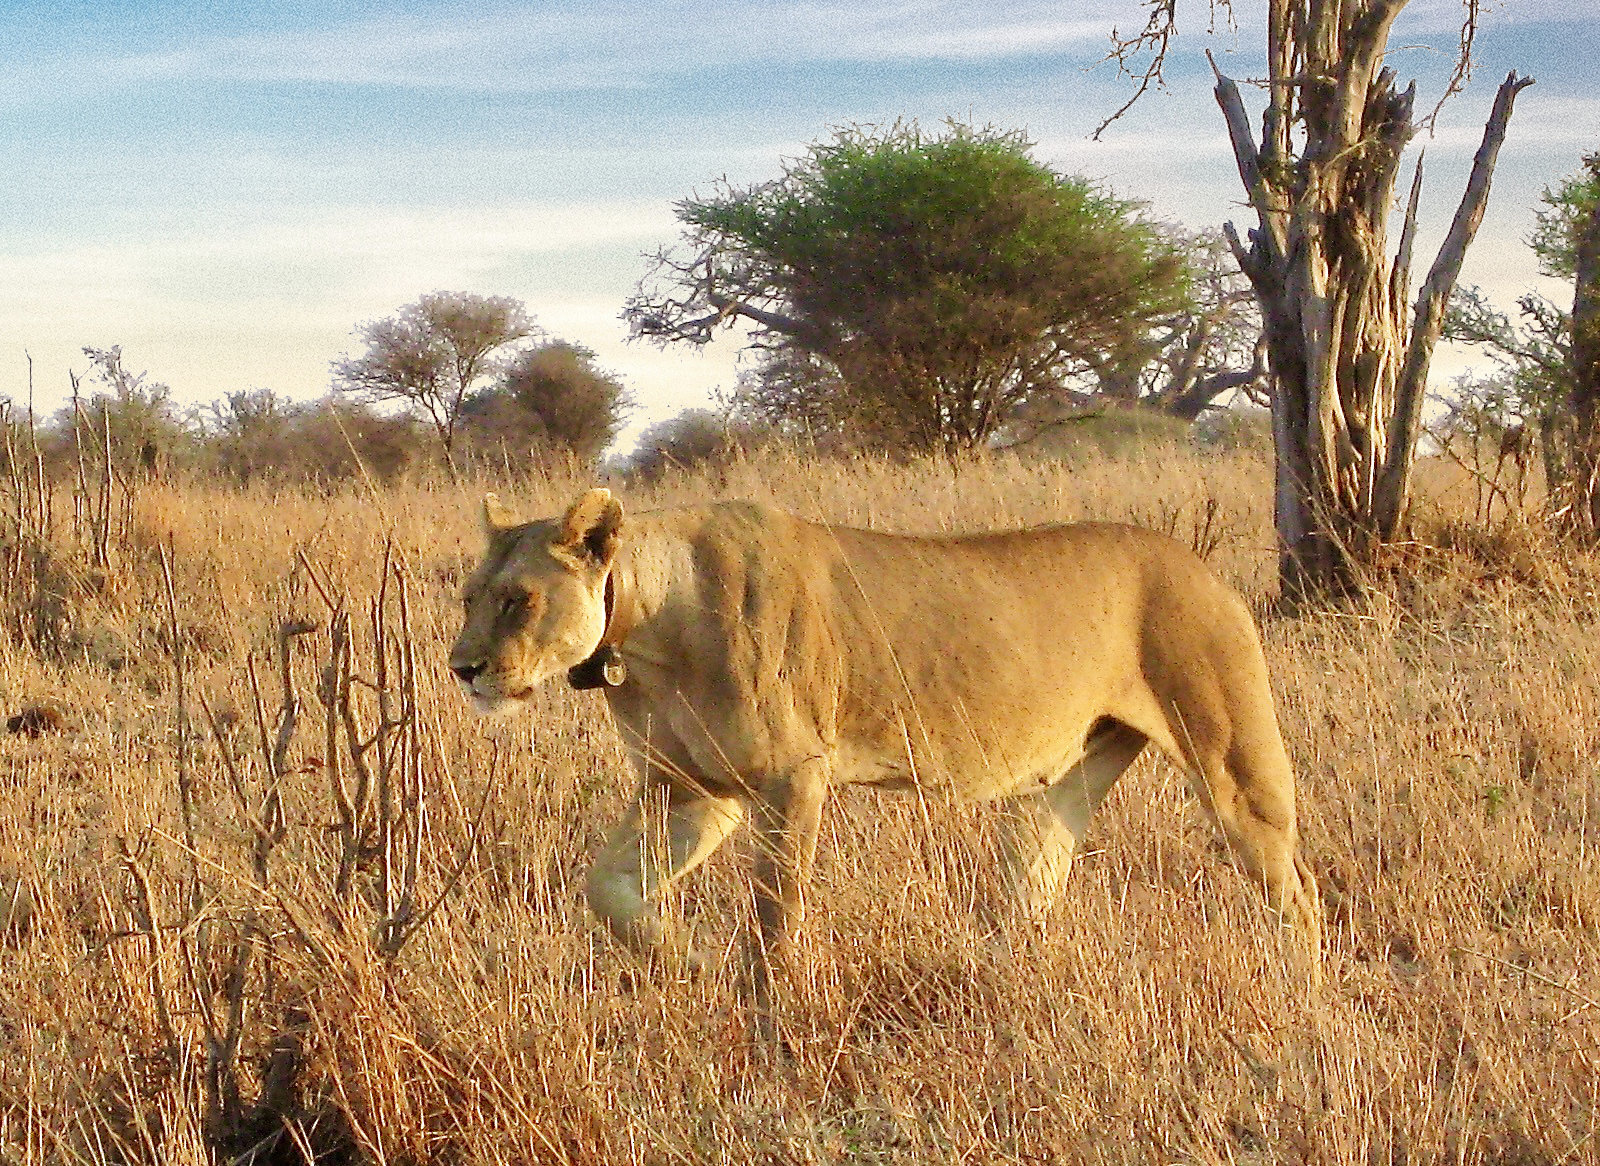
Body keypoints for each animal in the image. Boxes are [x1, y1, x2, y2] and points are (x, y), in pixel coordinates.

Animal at [450, 487, 1322, 1024]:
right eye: (468, 598)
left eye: (518, 600)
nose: (463, 668)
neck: (645, 626)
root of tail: (1199, 563)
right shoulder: (694, 790)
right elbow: (605, 891)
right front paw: (686, 961)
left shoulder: (789, 778)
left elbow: (774, 917)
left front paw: (767, 1016)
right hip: (1066, 781)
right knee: (1035, 885)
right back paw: (1002, 995)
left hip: (1234, 762)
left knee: (1298, 891)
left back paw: (1304, 994)